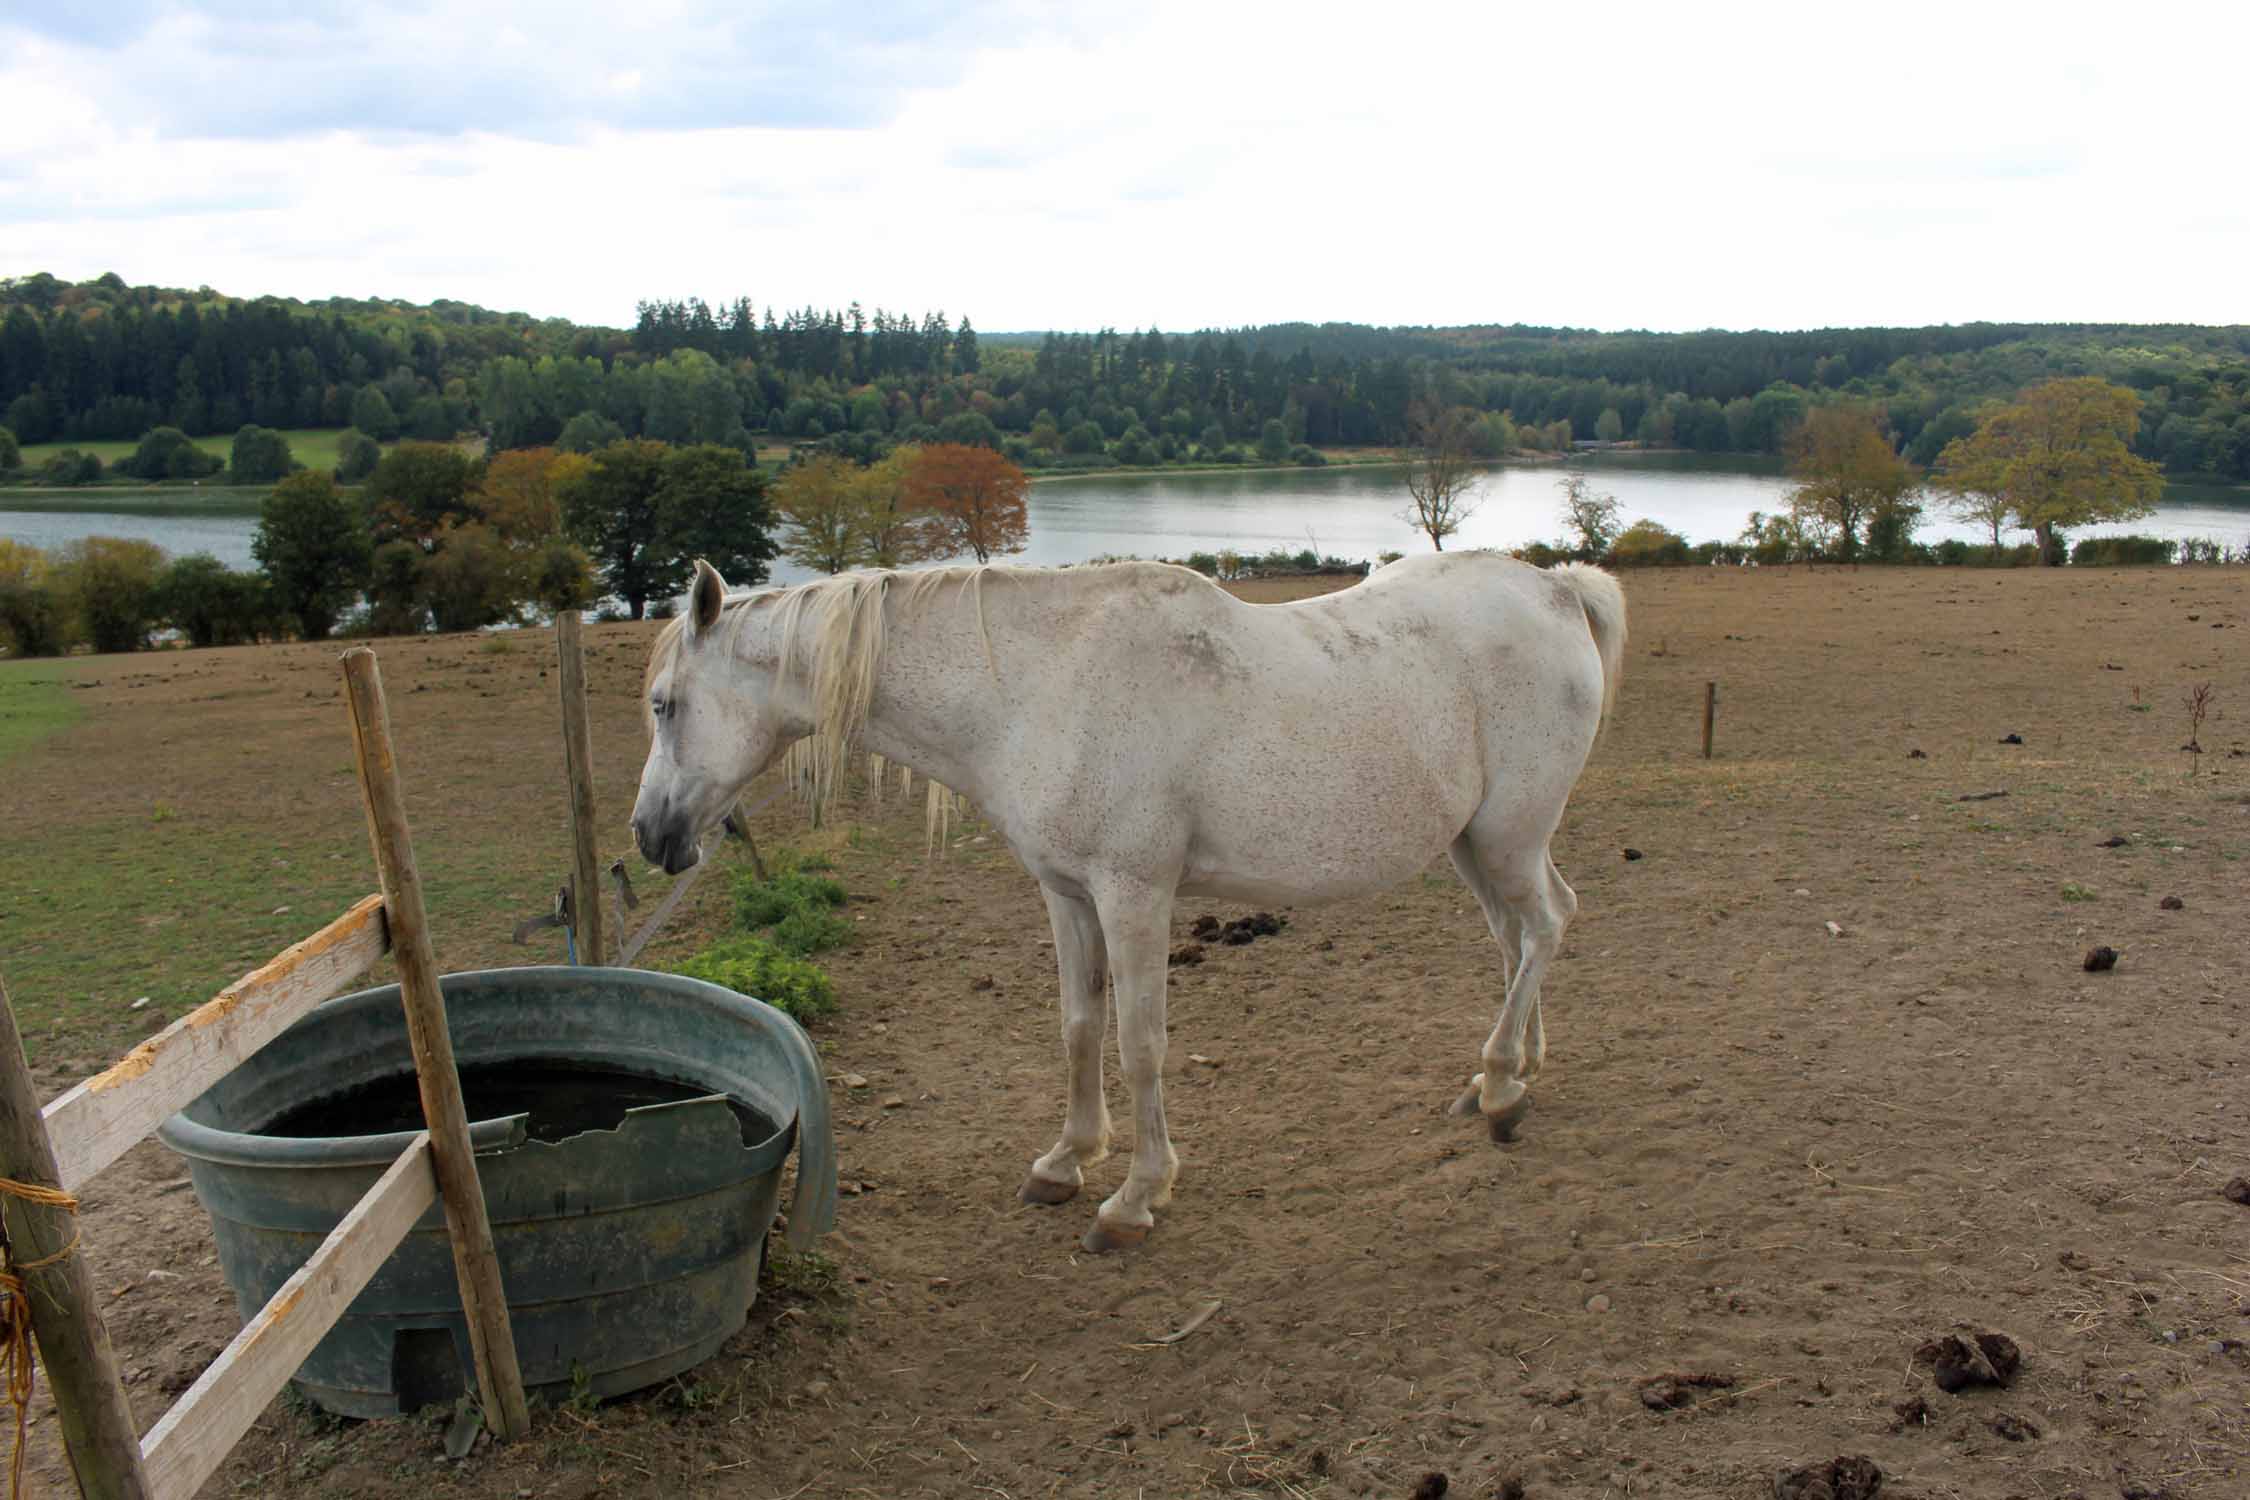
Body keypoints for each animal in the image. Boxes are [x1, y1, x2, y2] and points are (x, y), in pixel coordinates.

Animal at [630, 555, 1620, 1259]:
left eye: (665, 704)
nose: (651, 835)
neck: (1040, 686)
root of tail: (1556, 588)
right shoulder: (1067, 894)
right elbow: (1080, 1026)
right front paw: (1066, 1160)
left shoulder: (1134, 894)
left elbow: (1141, 1044)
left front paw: (1136, 1197)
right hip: (1477, 843)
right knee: (1517, 937)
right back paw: (1509, 1071)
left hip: (1510, 833)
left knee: (1548, 925)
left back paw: (1501, 1086)